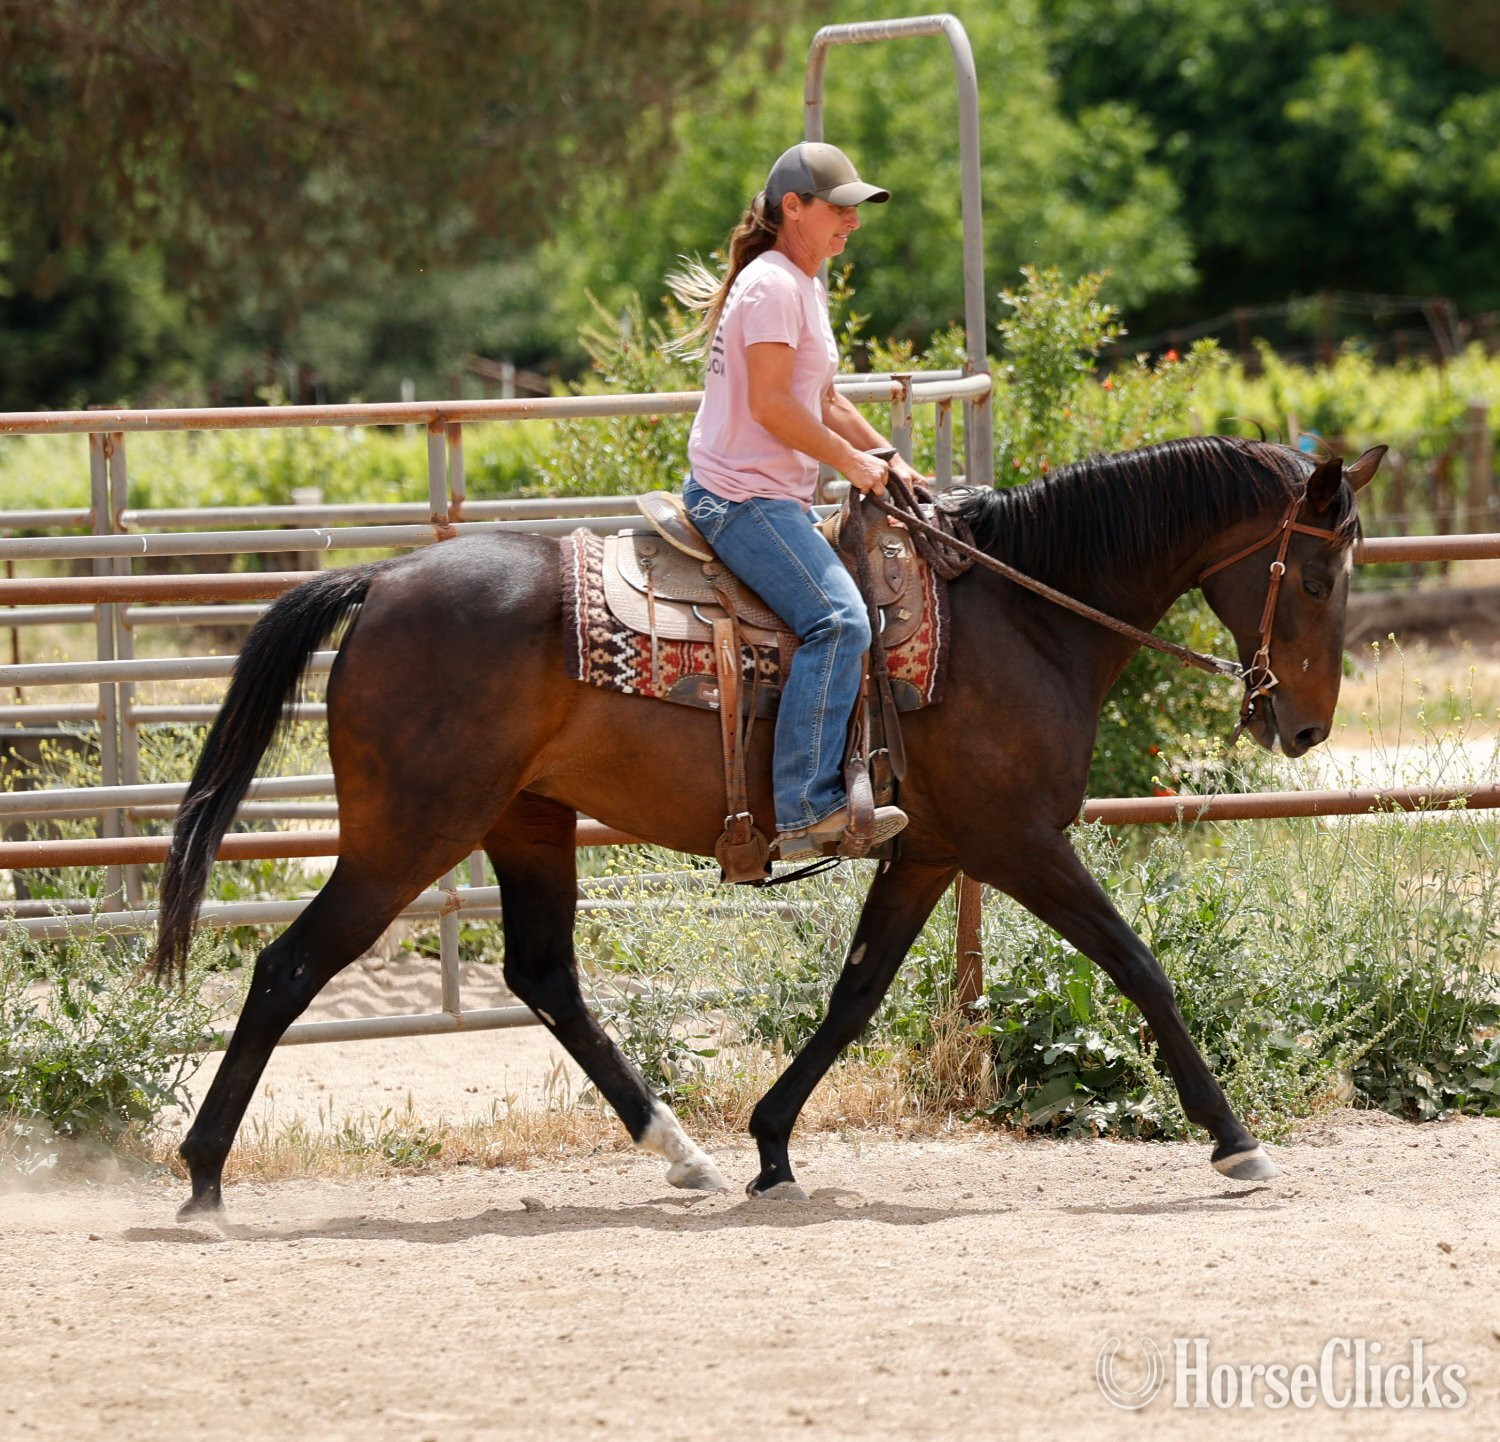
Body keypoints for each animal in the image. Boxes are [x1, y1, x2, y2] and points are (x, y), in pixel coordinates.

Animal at [153, 434, 1384, 1216]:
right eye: (1318, 574)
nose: (1306, 725)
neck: (1022, 612)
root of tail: (382, 581)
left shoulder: (929, 848)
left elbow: (855, 994)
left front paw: (772, 1144)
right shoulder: (1020, 840)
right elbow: (1139, 964)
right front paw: (1235, 1141)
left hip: (526, 823)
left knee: (546, 977)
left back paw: (683, 1154)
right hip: (406, 836)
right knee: (287, 967)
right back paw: (204, 1175)